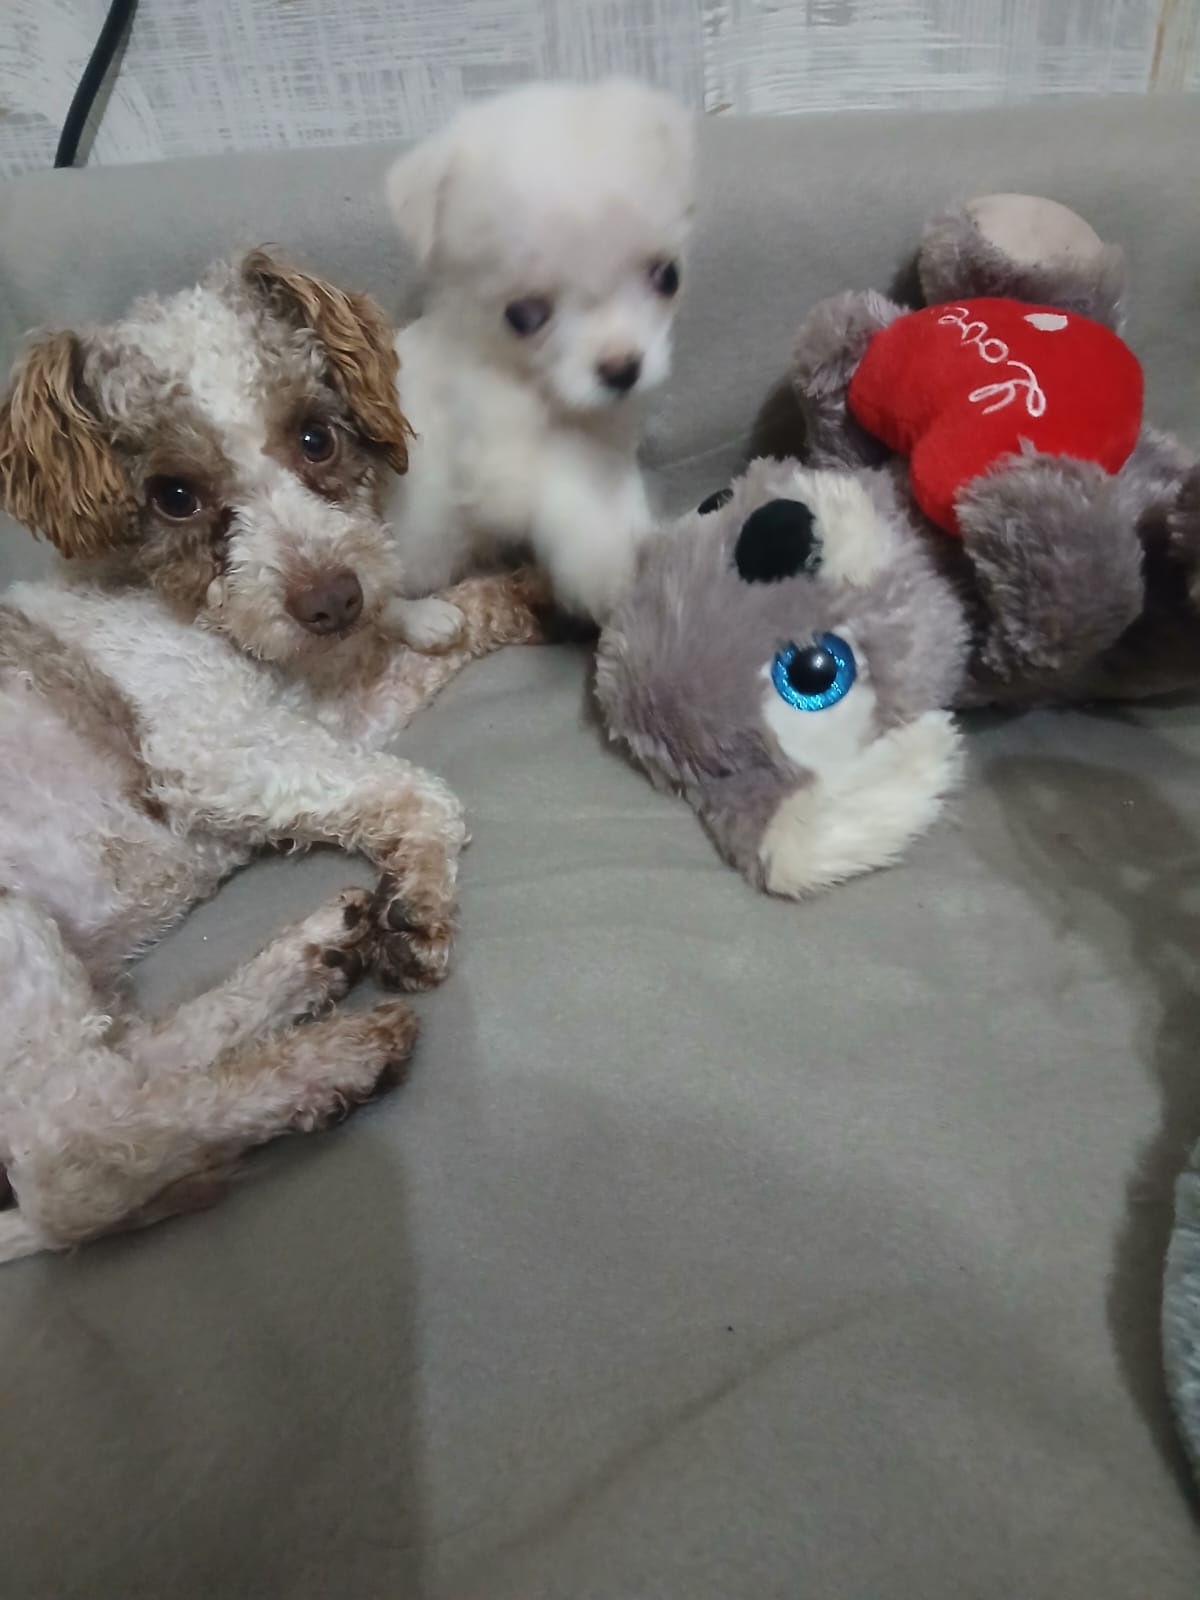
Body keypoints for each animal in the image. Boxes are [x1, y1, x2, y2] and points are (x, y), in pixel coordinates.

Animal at [0, 250, 544, 1262]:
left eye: (316, 438)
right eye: (174, 495)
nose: (335, 599)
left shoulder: (312, 711)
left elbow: (433, 648)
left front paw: (529, 595)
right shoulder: (216, 744)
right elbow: (422, 793)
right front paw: (422, 902)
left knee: (125, 1070)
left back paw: (307, 963)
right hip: (9, 934)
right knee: (80, 1158)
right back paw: (326, 1062)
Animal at [379, 77, 696, 640]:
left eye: (668, 276)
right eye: (523, 316)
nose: (622, 369)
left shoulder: (610, 436)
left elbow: (613, 480)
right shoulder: (499, 455)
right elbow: (568, 475)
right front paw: (604, 568)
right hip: (412, 551)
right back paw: (423, 619)